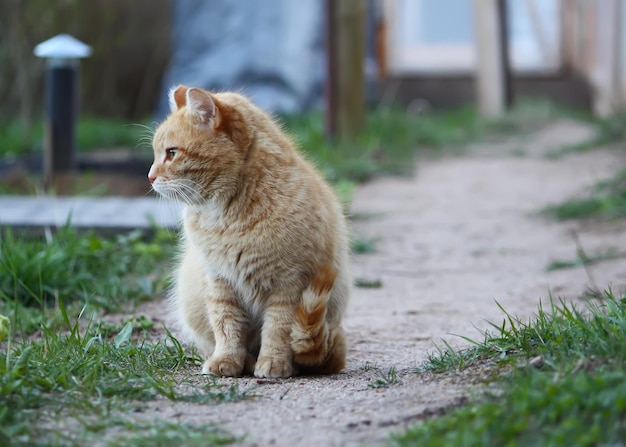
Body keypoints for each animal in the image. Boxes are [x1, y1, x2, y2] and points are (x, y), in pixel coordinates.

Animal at [148, 85, 348, 378]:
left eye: (172, 153)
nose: (149, 177)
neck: (227, 217)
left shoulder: (289, 286)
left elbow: (277, 329)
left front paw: (273, 363)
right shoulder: (219, 282)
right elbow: (227, 328)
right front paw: (226, 361)